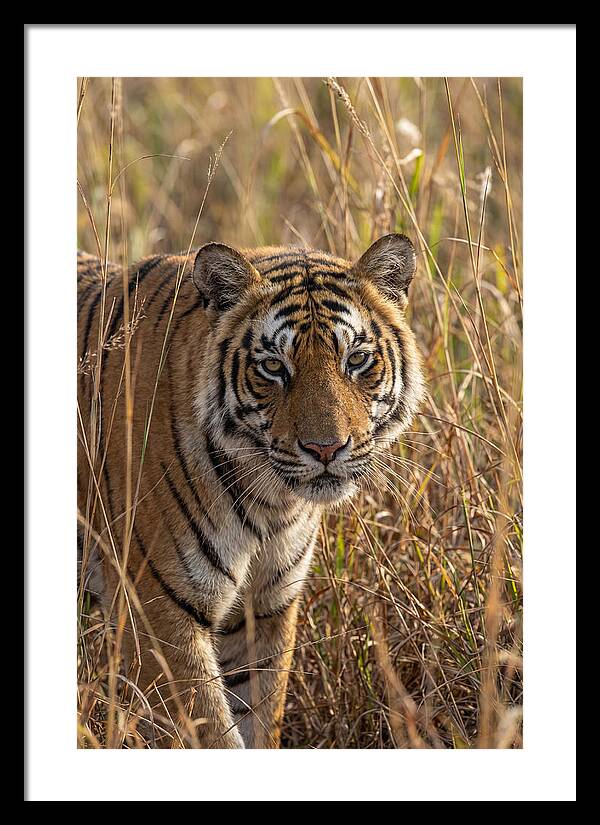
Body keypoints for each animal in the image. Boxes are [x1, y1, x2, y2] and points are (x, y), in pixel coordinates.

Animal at [77, 233, 425, 749]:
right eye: (274, 367)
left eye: (357, 360)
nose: (326, 448)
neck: (271, 504)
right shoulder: (158, 613)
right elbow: (210, 733)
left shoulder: (265, 607)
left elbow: (259, 716)